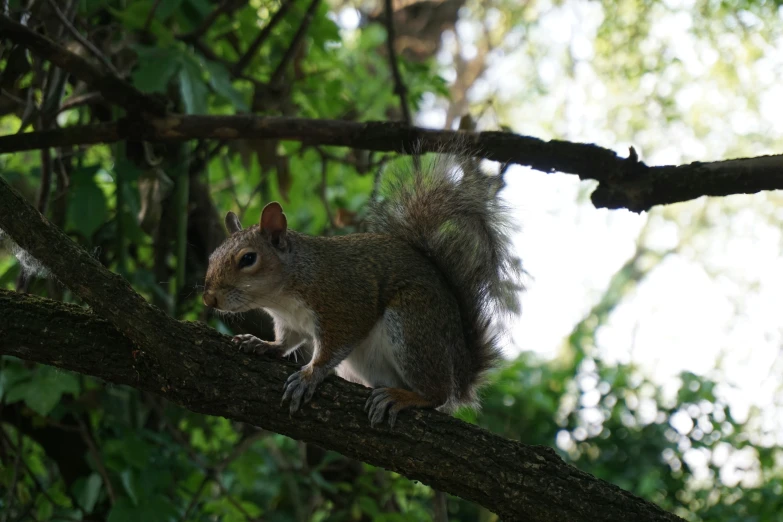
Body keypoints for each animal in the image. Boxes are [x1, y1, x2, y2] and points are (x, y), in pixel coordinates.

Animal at [202, 148, 524, 424]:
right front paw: (262, 344)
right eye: (212, 256)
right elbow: (286, 341)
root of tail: (461, 369)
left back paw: (403, 397)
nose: (209, 299)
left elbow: (332, 348)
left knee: (438, 394)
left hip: (413, 325)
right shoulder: (289, 322)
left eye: (248, 258)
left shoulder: (343, 304)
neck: (282, 296)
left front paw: (310, 375)